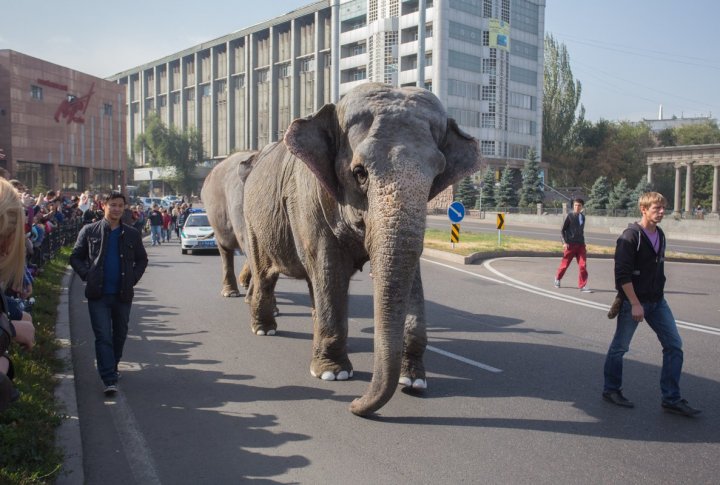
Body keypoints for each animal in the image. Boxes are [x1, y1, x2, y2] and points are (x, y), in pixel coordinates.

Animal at [242, 83, 478, 416]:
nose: (354, 404)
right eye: (359, 173)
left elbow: (411, 276)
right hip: (253, 218)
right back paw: (265, 330)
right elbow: (329, 268)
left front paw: (414, 381)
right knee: (266, 274)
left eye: (436, 175)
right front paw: (333, 374)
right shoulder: (307, 199)